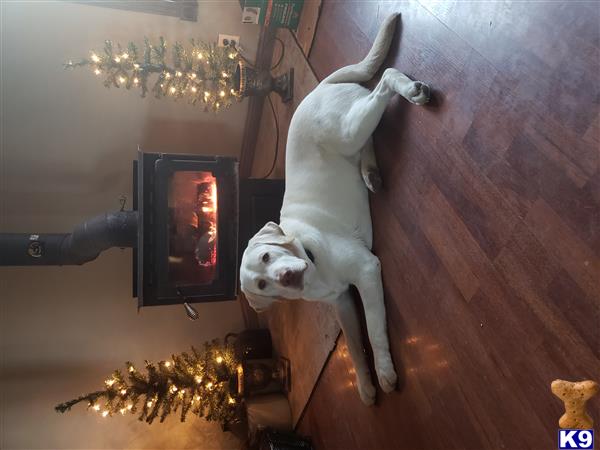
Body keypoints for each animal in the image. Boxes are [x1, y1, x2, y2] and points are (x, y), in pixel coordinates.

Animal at [237, 14, 428, 406]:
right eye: (262, 284)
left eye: (266, 256)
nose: (286, 278)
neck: (314, 265)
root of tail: (319, 86)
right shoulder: (341, 303)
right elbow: (354, 346)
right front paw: (365, 385)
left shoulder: (367, 269)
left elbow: (374, 331)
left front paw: (384, 372)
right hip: (351, 135)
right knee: (369, 126)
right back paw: (370, 173)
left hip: (346, 130)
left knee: (384, 80)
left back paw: (410, 91)